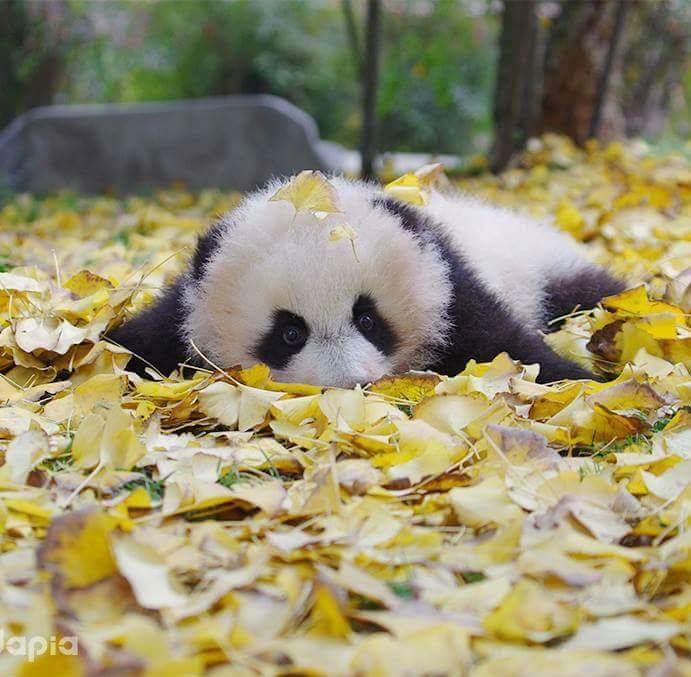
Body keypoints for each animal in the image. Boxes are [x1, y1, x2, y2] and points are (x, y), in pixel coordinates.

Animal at [109, 176, 624, 386]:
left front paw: (581, 382)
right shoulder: (189, 305)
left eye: (368, 319)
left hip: (546, 271)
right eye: (290, 332)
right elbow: (138, 343)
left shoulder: (449, 287)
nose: (350, 383)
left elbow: (506, 348)